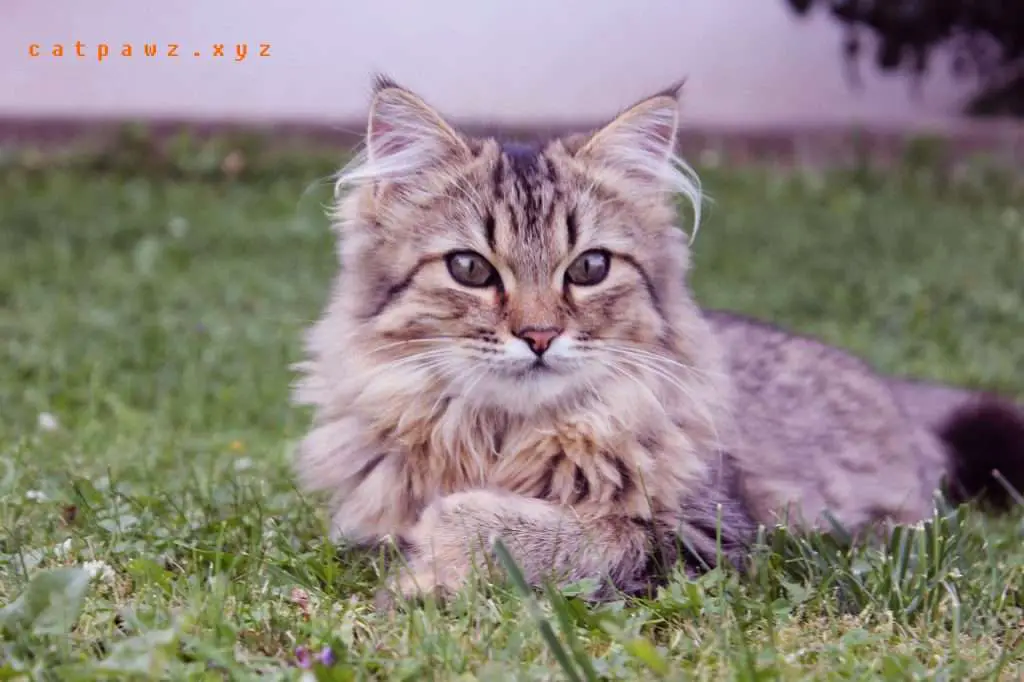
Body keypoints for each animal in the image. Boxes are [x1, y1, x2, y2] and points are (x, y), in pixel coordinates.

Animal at [288, 76, 1024, 602]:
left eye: (589, 268)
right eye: (471, 269)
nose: (539, 335)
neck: (505, 439)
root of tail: (892, 389)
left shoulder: (714, 535)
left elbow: (574, 533)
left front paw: (439, 549)